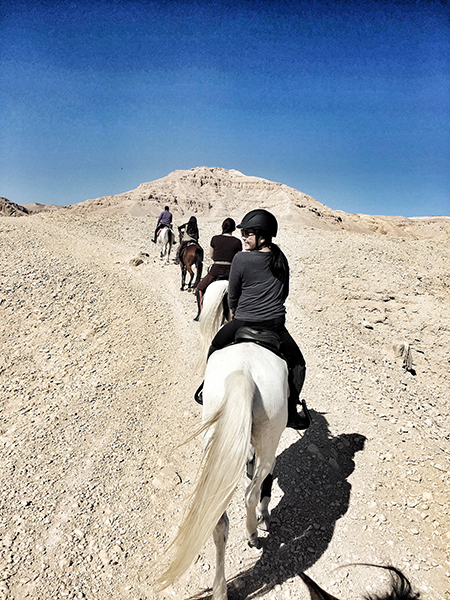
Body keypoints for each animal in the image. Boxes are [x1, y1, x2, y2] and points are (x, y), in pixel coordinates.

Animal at [157, 278, 288, 596]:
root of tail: (244, 372)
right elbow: (264, 485)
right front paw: (266, 519)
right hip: (269, 439)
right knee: (251, 492)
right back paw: (253, 533)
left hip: (215, 437)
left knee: (218, 521)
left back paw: (220, 589)